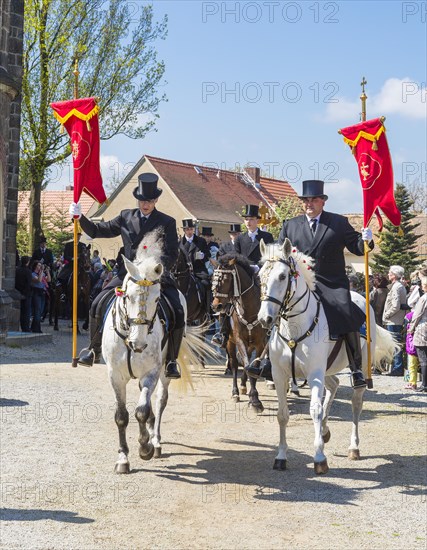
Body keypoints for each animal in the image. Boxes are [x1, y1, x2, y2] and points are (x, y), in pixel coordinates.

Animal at [102, 232, 212, 474]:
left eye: (156, 299)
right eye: (128, 297)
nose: (139, 343)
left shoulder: (151, 373)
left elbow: (141, 410)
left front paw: (145, 447)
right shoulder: (116, 376)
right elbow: (122, 416)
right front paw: (123, 458)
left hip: (164, 371)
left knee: (160, 401)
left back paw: (156, 440)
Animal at [211, 254, 268, 414]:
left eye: (225, 279)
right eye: (213, 279)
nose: (216, 306)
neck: (250, 310)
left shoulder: (260, 343)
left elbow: (253, 367)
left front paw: (255, 400)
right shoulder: (239, 339)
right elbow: (246, 366)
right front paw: (254, 399)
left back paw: (243, 386)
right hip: (230, 342)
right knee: (235, 363)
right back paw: (235, 392)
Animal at [260, 239, 398, 476]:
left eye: (282, 276)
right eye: (260, 275)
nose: (264, 318)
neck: (294, 327)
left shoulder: (315, 373)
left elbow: (314, 410)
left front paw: (319, 458)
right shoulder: (279, 374)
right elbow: (282, 414)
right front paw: (281, 456)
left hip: (358, 367)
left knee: (356, 403)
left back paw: (353, 447)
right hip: (327, 369)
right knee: (333, 385)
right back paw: (324, 431)